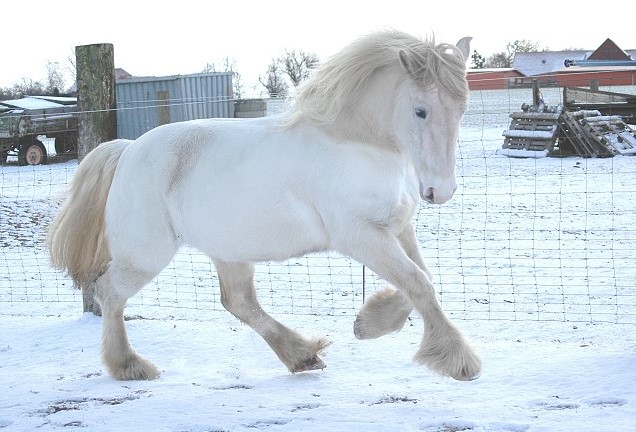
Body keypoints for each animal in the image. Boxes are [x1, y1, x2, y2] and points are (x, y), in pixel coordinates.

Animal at [46, 30, 482, 382]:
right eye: (421, 110)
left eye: (462, 109)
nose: (439, 191)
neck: (356, 144)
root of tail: (128, 150)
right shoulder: (360, 236)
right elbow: (418, 283)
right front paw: (460, 361)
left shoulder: (397, 228)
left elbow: (421, 281)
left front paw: (367, 324)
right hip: (145, 256)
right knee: (109, 293)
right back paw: (129, 366)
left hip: (229, 251)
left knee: (238, 302)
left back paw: (303, 357)